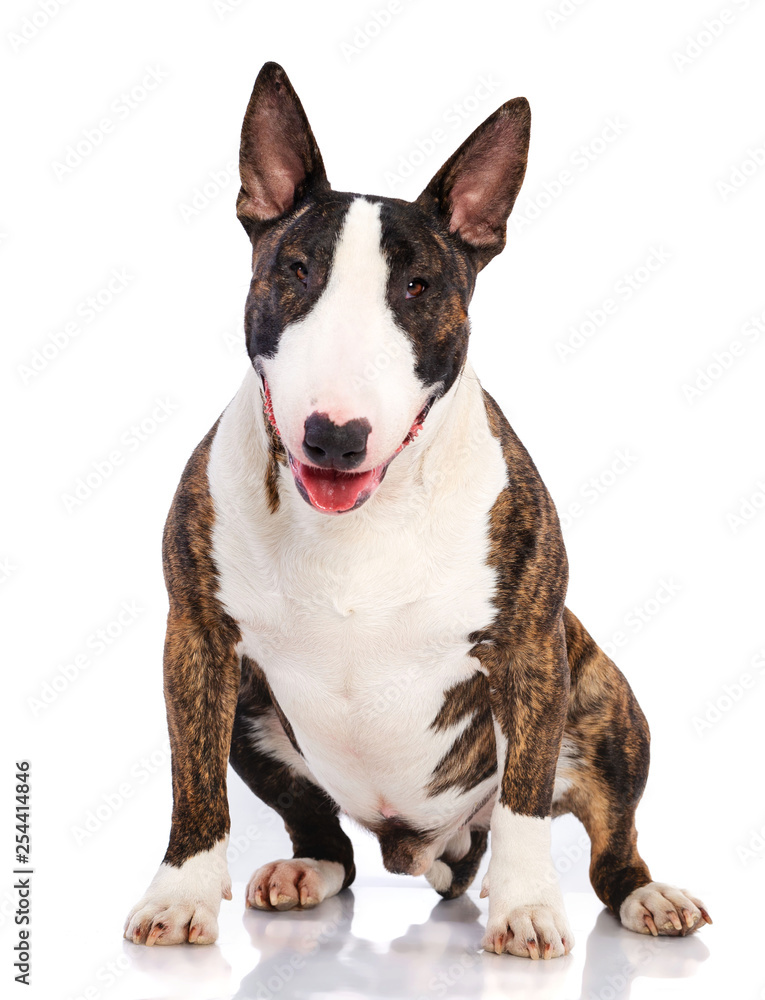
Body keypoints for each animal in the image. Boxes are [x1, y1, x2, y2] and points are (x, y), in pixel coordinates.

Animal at [124, 64, 712, 960]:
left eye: (417, 287)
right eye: (296, 271)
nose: (334, 437)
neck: (357, 522)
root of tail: (425, 846)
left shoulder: (529, 649)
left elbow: (524, 800)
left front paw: (526, 907)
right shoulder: (197, 638)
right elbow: (192, 783)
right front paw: (180, 896)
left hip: (607, 705)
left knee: (609, 847)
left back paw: (645, 897)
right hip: (253, 710)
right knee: (327, 838)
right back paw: (304, 872)